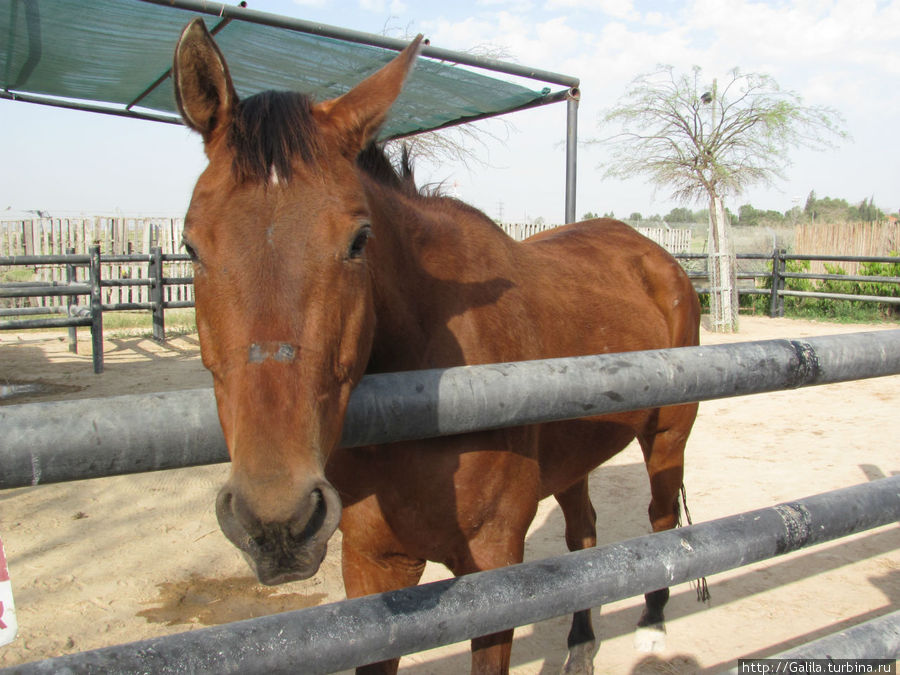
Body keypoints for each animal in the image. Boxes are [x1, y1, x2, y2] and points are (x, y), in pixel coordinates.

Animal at [172, 21, 700, 675]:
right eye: (191, 246)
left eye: (359, 239)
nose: (276, 521)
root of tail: (653, 255)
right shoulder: (374, 565)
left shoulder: (494, 566)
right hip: (573, 462)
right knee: (584, 538)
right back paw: (580, 648)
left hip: (668, 437)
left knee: (661, 523)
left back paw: (652, 630)